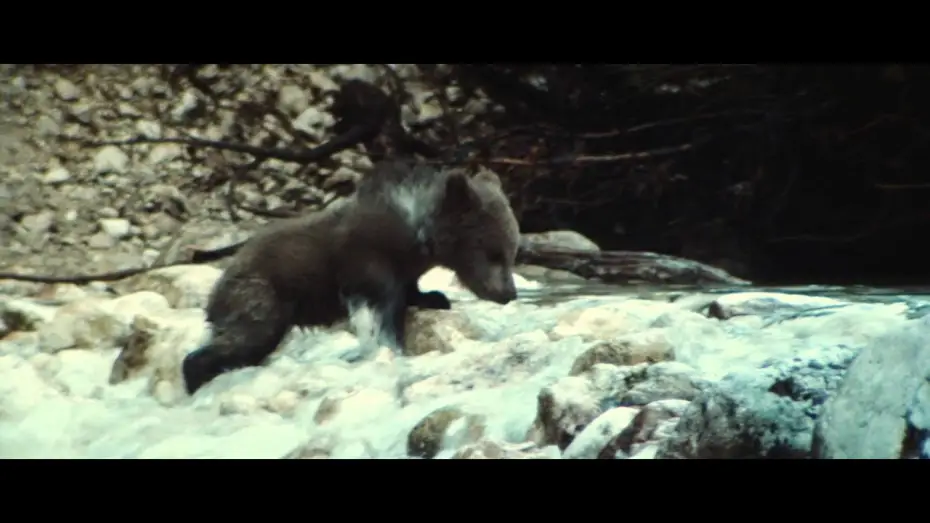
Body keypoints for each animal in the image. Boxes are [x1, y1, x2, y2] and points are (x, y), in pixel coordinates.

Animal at [181, 160, 521, 394]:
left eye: (513, 249)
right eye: (494, 252)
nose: (509, 293)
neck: (416, 237)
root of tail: (218, 286)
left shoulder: (401, 267)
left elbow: (409, 291)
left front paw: (434, 297)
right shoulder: (365, 260)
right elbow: (381, 306)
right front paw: (390, 342)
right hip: (261, 295)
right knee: (244, 337)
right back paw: (195, 376)